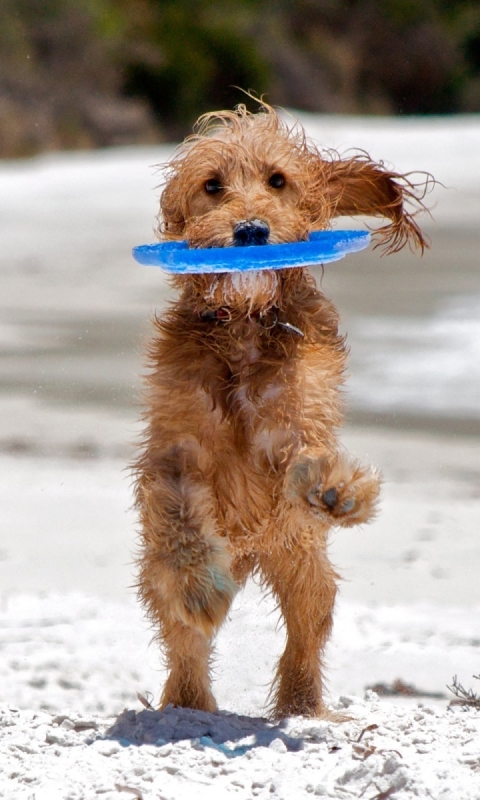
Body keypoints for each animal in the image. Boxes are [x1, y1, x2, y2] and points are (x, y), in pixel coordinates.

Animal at [133, 101, 430, 720]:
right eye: (212, 185)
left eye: (277, 180)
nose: (251, 231)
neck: (244, 325)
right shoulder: (174, 449)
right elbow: (179, 515)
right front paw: (198, 584)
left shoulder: (297, 422)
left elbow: (308, 458)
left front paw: (337, 489)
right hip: (168, 576)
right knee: (183, 639)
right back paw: (190, 701)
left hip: (301, 563)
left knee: (307, 628)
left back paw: (302, 705)